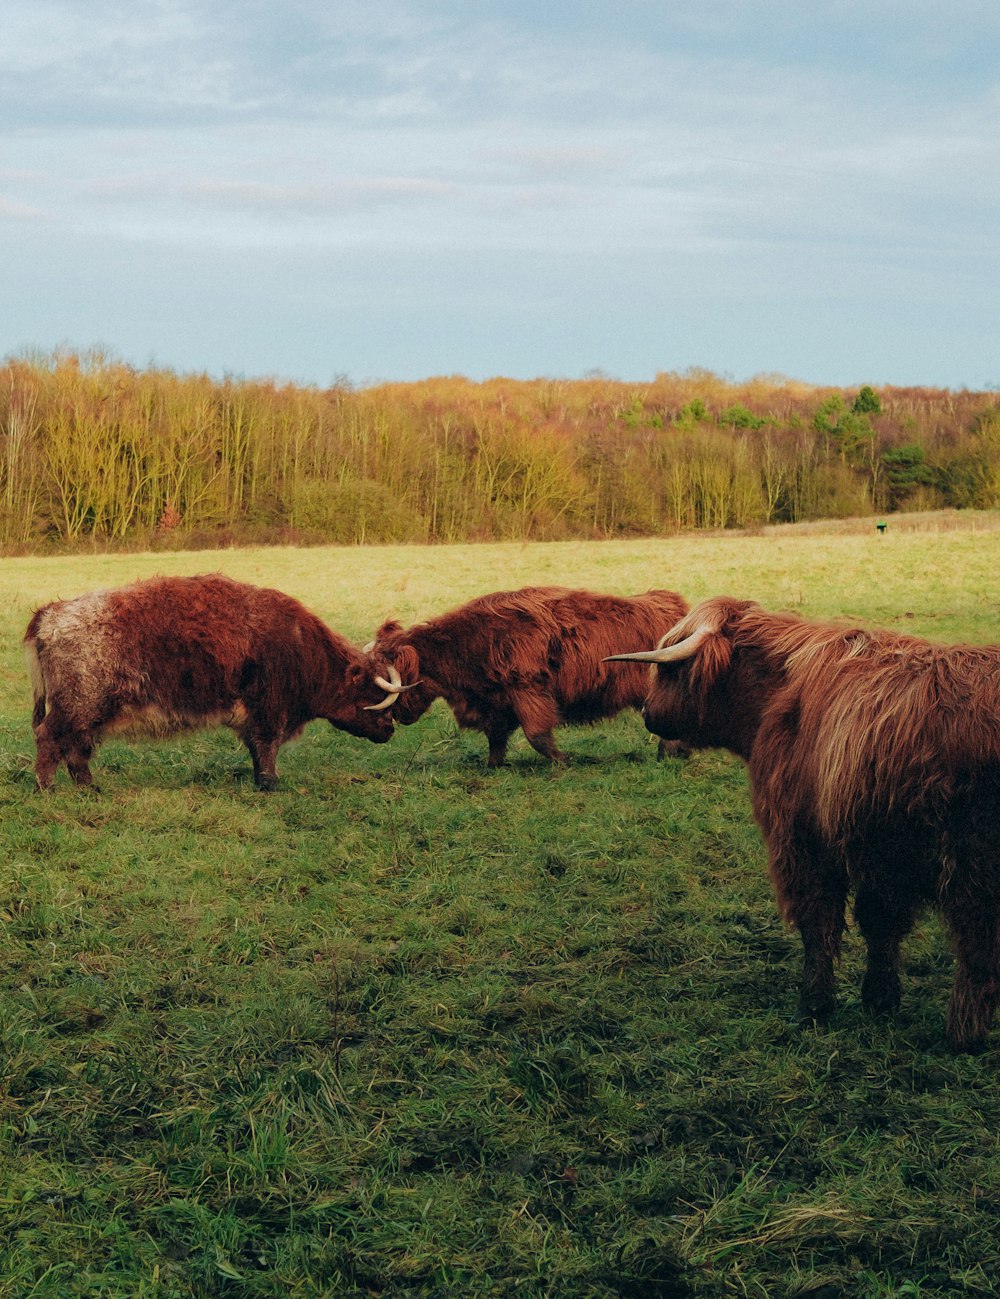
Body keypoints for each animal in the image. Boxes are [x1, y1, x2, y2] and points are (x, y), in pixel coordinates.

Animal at [27, 576, 410, 789]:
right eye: (373, 694)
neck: (302, 646)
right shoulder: (270, 710)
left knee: (77, 748)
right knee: (50, 738)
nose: (390, 730)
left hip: (88, 712)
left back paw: (89, 788)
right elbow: (267, 745)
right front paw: (270, 783)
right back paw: (48, 788)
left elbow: (257, 749)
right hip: (78, 705)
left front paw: (261, 779)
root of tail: (52, 614)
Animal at [363, 587, 685, 763]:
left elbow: (537, 735)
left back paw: (667, 754)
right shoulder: (494, 704)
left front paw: (564, 761)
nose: (397, 717)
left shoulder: (528, 692)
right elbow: (496, 739)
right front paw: (493, 765)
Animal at [602, 597, 997, 1054]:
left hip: (973, 868)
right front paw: (880, 1001)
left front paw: (812, 1007)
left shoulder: (801, 841)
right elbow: (880, 927)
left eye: (670, 669)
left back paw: (963, 1036)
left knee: (976, 949)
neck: (778, 697)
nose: (648, 713)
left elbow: (818, 925)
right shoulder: (879, 855)